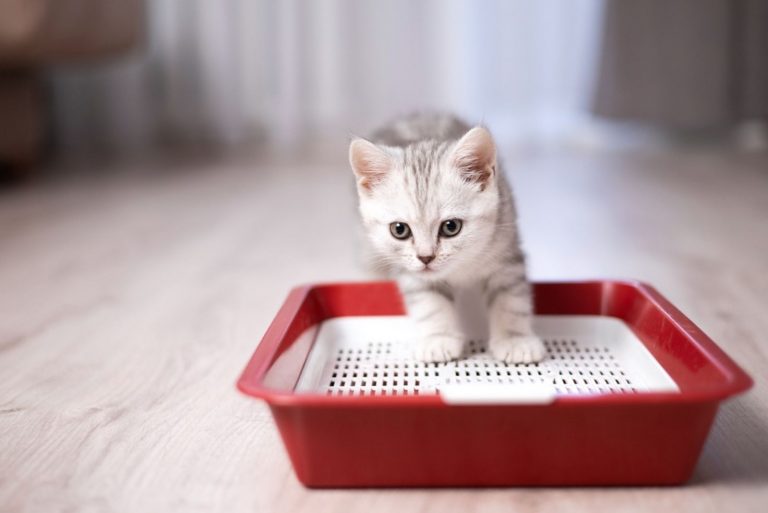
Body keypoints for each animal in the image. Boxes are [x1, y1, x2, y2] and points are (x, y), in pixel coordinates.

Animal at [344, 112, 544, 364]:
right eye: (399, 230)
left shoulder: (506, 252)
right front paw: (438, 339)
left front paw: (515, 339)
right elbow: (431, 302)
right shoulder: (413, 273)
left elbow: (510, 298)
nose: (426, 257)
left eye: (451, 227)